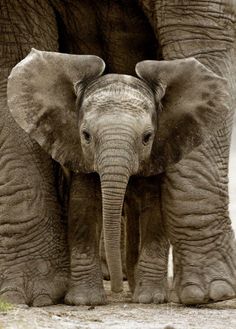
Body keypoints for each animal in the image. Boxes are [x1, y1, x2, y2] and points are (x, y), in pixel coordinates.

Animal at [7, 49, 232, 304]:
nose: (115, 289)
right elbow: (83, 208)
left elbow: (154, 212)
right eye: (85, 135)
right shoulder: (80, 156)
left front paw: (150, 299)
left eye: (147, 137)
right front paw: (85, 301)